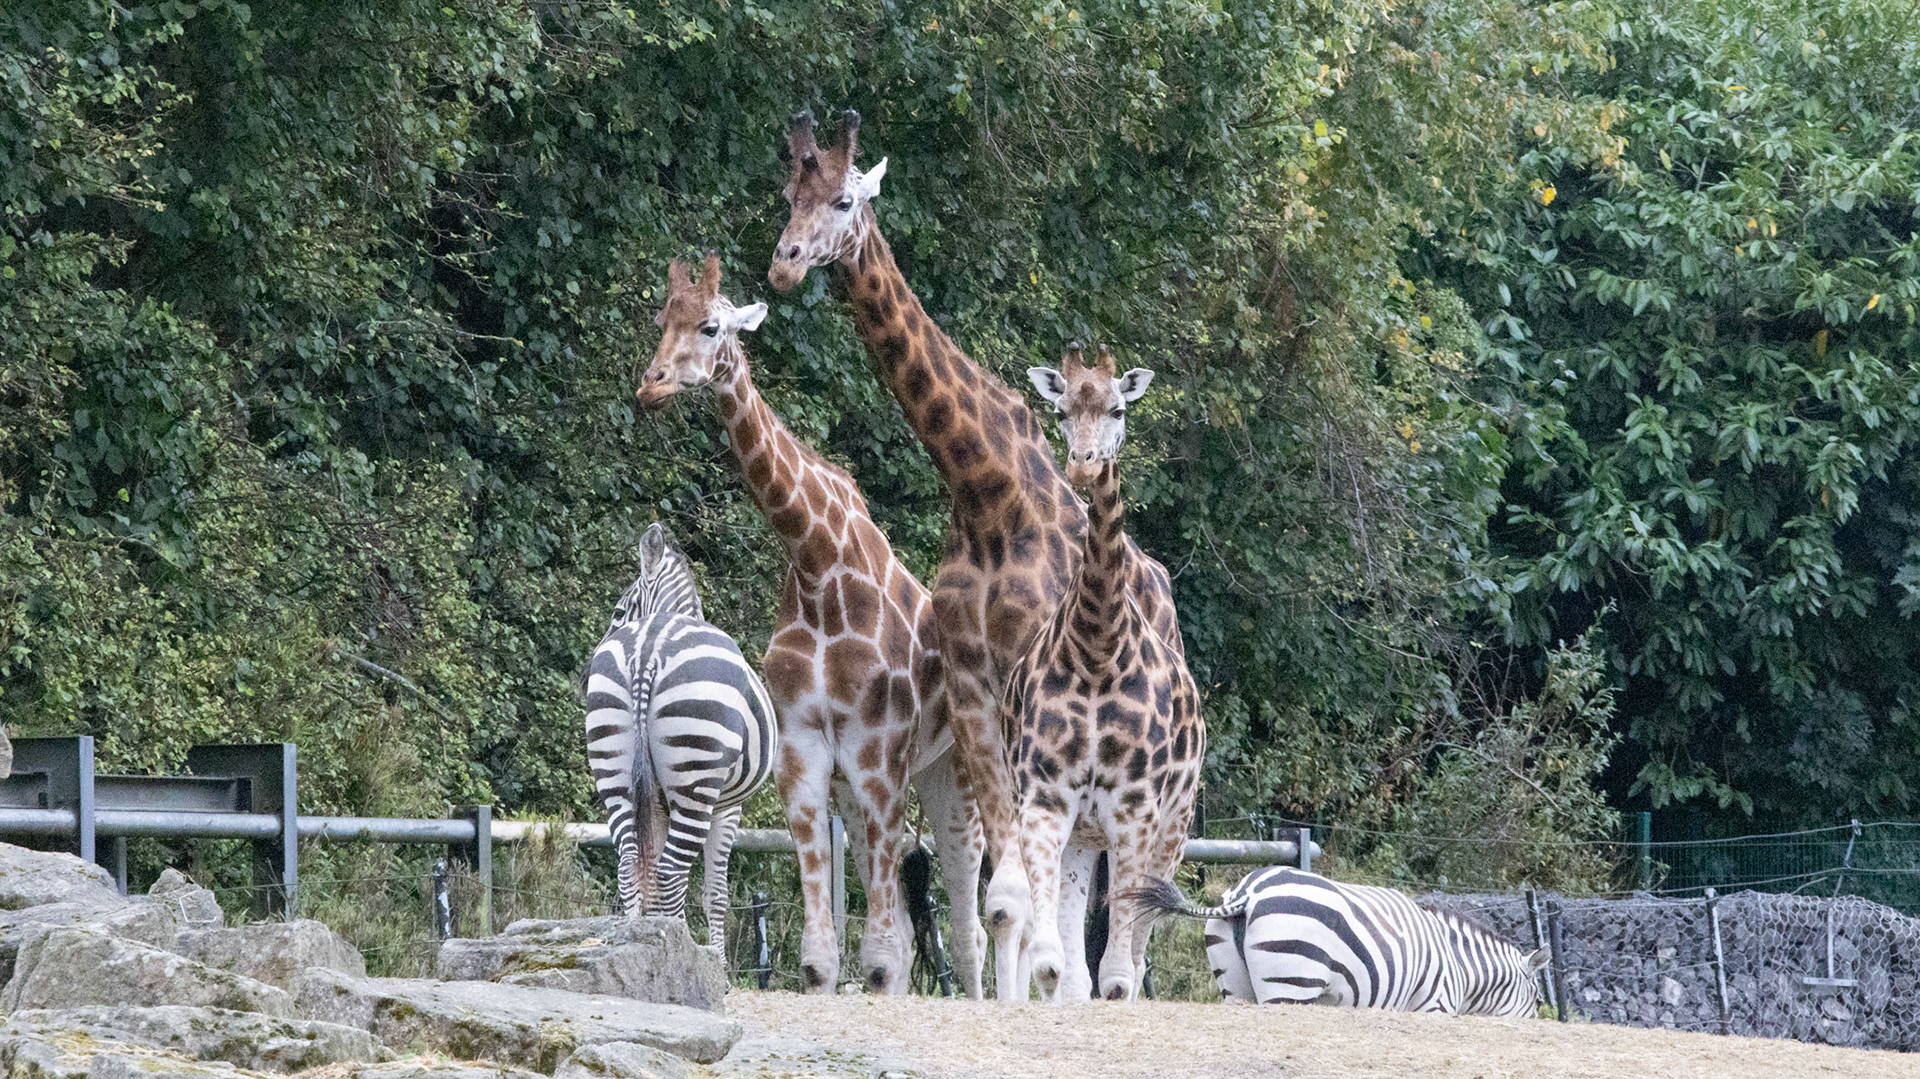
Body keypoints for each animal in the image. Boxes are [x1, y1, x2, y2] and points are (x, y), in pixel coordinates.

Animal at [584, 522, 778, 948]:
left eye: (618, 612)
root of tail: (648, 647)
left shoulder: (655, 802)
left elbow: (651, 874)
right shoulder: (728, 806)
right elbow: (716, 895)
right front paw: (716, 960)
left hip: (614, 769)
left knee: (630, 865)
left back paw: (643, 941)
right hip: (697, 781)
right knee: (672, 872)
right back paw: (679, 944)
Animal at [638, 252, 985, 997]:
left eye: (710, 325)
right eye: (661, 321)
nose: (650, 386)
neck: (819, 564)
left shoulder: (877, 752)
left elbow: (881, 957)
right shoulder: (807, 749)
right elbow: (826, 956)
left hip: (958, 775)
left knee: (977, 920)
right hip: (897, 778)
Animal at [1011, 343, 1203, 1003]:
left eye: (1118, 409)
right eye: (1062, 410)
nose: (1084, 467)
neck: (1096, 649)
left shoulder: (1136, 809)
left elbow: (1118, 978)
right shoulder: (1046, 799)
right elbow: (1051, 965)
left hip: (1174, 826)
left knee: (1138, 955)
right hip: (1084, 834)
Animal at [1129, 866, 1549, 1015]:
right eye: (1538, 1001)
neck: (1460, 966)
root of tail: (1248, 891)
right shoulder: (1433, 1006)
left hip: (1235, 986)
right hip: (1289, 986)